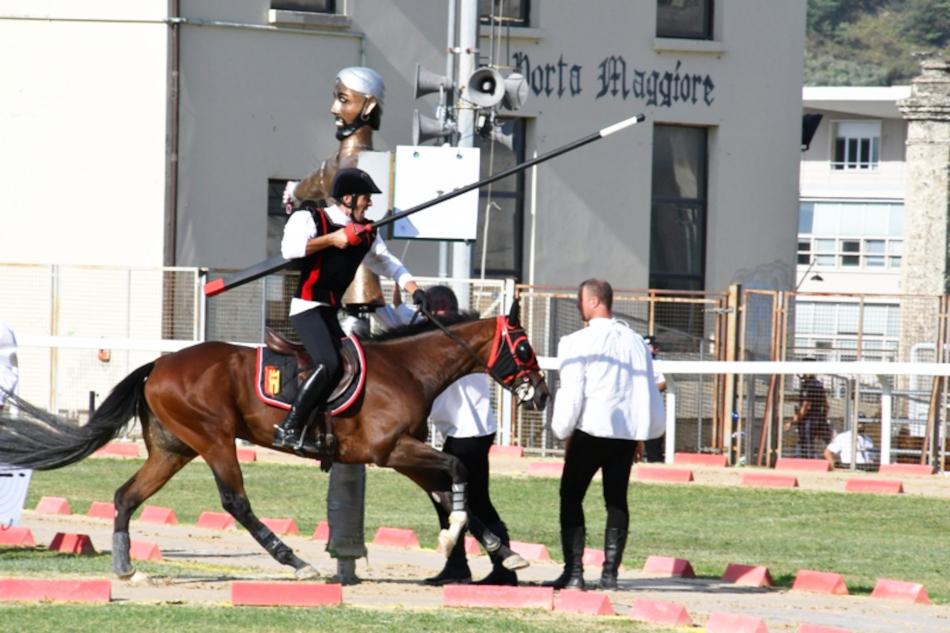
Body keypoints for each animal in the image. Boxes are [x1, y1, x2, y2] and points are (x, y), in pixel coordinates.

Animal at [0, 302, 552, 576]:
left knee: (125, 496)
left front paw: (504, 551)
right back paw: (295, 561)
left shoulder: (405, 456)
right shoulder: (391, 451)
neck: (408, 368)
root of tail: (159, 363)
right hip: (214, 439)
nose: (543, 394)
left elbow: (452, 492)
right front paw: (456, 534)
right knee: (236, 502)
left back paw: (125, 565)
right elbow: (457, 472)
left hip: (175, 448)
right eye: (524, 347)